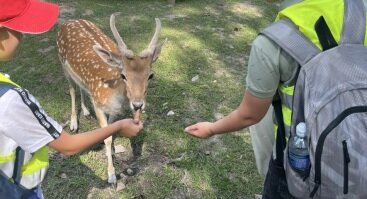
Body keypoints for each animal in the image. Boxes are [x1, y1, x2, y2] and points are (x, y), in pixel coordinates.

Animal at [56, 14, 166, 184]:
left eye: (151, 75)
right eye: (123, 75)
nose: (138, 104)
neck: (116, 95)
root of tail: (67, 21)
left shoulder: (114, 110)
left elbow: (111, 129)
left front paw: (113, 151)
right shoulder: (98, 103)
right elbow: (106, 137)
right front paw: (111, 174)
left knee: (81, 87)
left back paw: (86, 111)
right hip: (62, 63)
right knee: (72, 89)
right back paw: (74, 123)